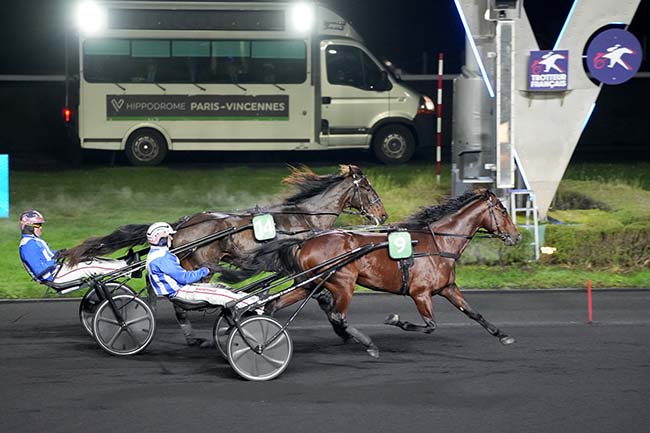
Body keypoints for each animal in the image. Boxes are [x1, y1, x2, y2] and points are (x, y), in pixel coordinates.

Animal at [223, 190, 520, 358]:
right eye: (503, 211)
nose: (516, 237)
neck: (438, 243)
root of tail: (305, 240)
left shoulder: (448, 288)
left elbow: (474, 313)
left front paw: (502, 334)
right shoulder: (420, 293)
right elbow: (429, 325)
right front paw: (396, 320)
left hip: (308, 283)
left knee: (273, 304)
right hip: (342, 283)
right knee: (338, 316)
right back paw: (368, 344)